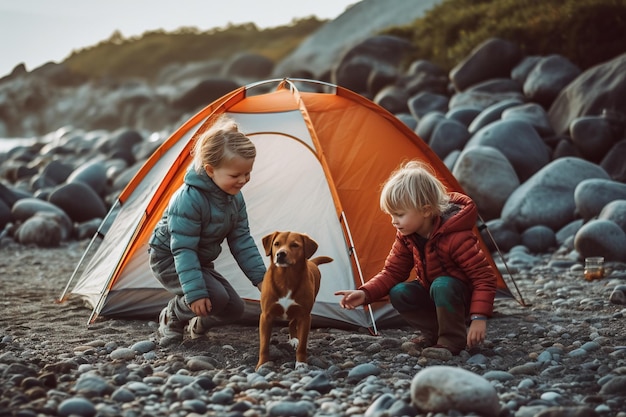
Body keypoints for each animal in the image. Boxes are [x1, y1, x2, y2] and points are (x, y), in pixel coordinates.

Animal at [255, 231, 332, 370]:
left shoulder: (305, 316)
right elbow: (263, 345)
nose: (280, 254)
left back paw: (294, 339)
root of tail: (311, 262)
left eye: (295, 245)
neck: (286, 278)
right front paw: (262, 364)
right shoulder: (265, 316)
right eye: (276, 244)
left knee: (292, 322)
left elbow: (302, 346)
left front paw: (301, 363)